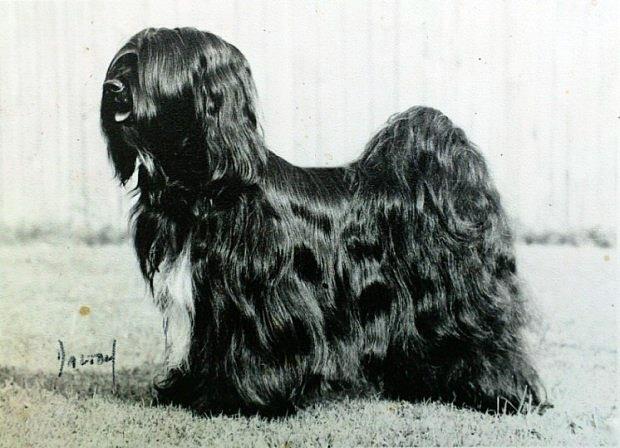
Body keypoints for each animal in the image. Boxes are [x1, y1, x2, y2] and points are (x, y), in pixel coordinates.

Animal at [100, 26, 548, 414]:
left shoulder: (264, 299)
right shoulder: (208, 300)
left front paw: (248, 400)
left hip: (456, 295)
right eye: (122, 63)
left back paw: (502, 394)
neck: (207, 187)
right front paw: (188, 393)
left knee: (488, 339)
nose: (112, 88)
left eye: (155, 64)